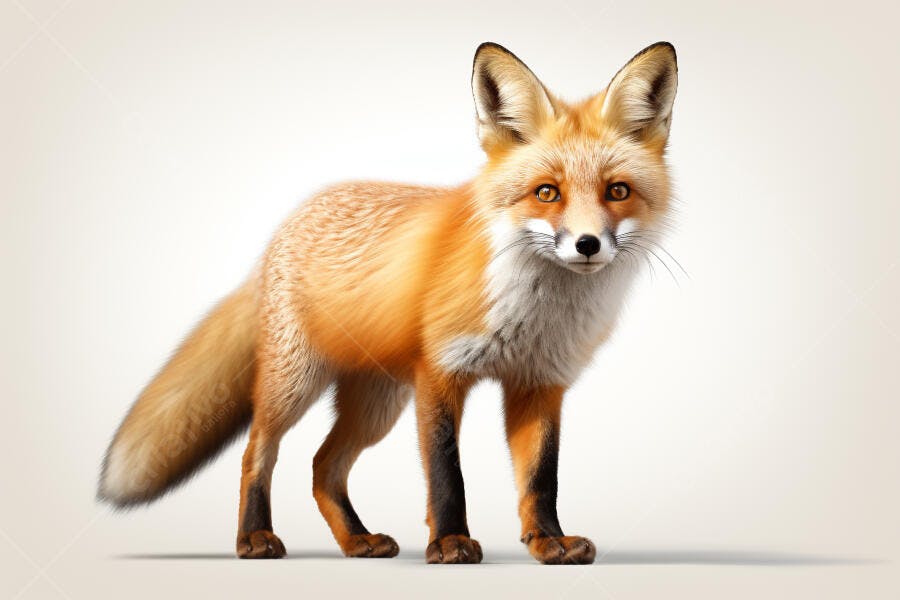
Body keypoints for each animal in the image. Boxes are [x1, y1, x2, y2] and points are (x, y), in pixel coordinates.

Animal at [99, 41, 679, 565]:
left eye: (618, 191)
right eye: (546, 193)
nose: (588, 244)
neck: (535, 313)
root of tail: (286, 225)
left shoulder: (539, 383)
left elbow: (541, 478)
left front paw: (547, 542)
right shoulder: (440, 373)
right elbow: (447, 473)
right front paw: (449, 542)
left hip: (377, 403)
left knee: (323, 466)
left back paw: (357, 541)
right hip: (297, 383)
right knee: (256, 451)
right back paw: (254, 539)